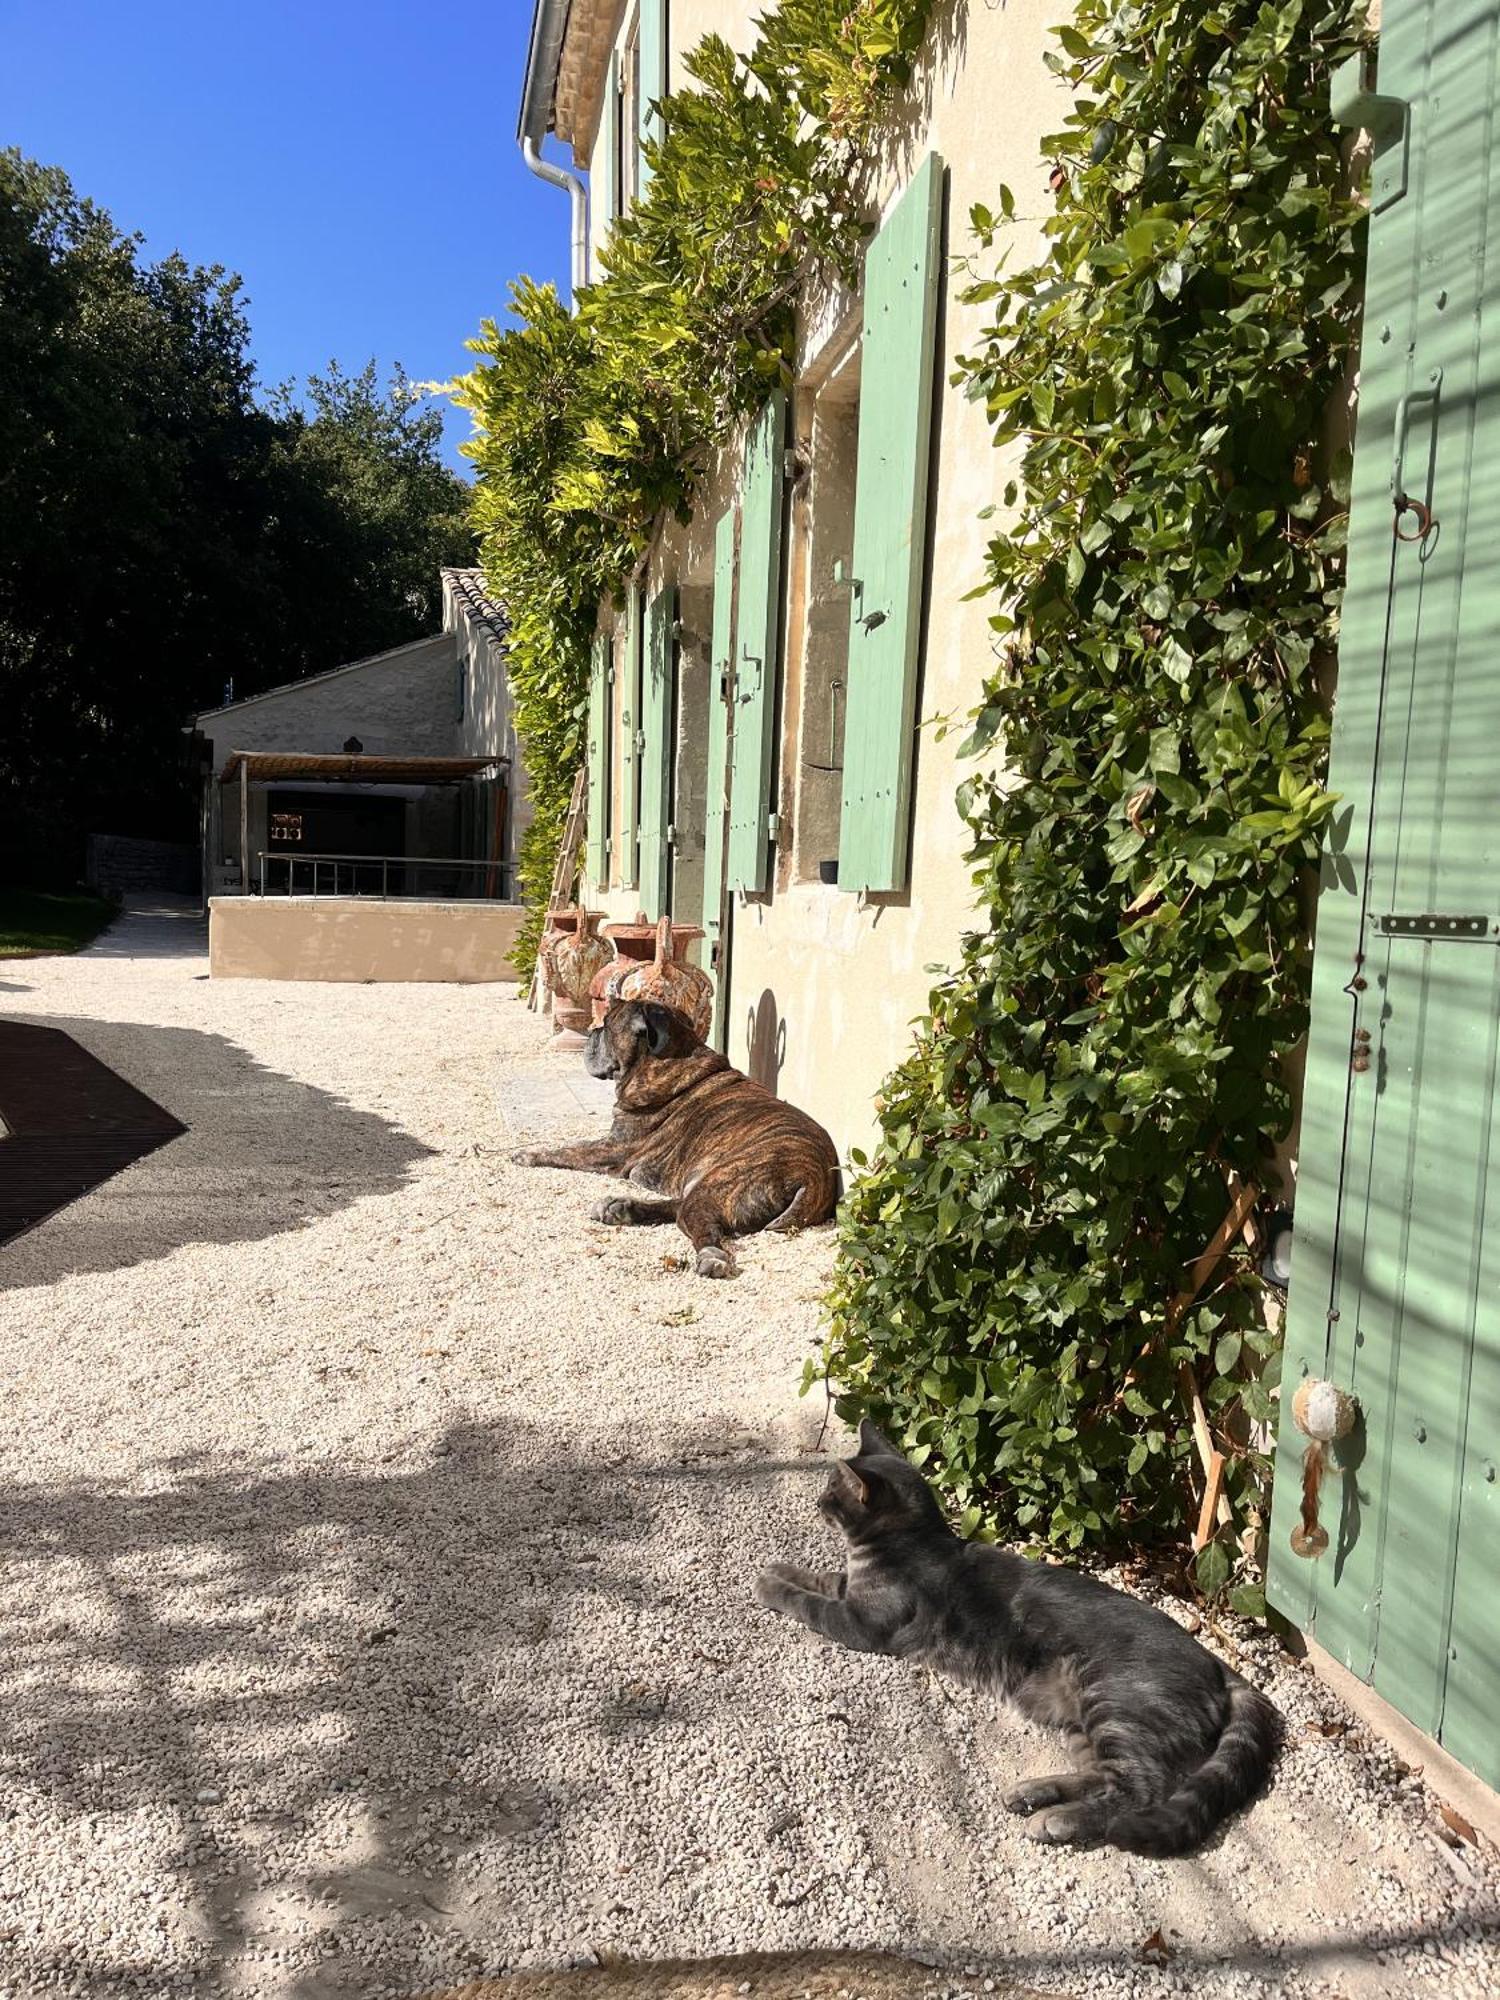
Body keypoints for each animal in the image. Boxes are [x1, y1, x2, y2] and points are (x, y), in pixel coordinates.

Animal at [516, 1000, 848, 1280]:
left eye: (608, 1023)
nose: (593, 1031)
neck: (666, 1061)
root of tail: (810, 1177)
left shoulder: (613, 1149)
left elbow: (569, 1149)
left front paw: (528, 1154)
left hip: (723, 1180)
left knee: (703, 1228)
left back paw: (711, 1257)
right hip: (706, 1185)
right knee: (681, 1209)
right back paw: (620, 1207)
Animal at [756, 1424, 1288, 1856]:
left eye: (831, 1490)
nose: (817, 1502)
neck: (911, 1543)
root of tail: (1221, 1665)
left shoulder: (860, 1622)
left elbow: (809, 1601)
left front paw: (770, 1585)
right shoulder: (851, 1591)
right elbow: (822, 1577)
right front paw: (781, 1568)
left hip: (1115, 1701)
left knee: (1139, 1790)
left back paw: (1056, 1820)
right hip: (1081, 1721)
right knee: (1103, 1777)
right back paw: (1034, 1794)